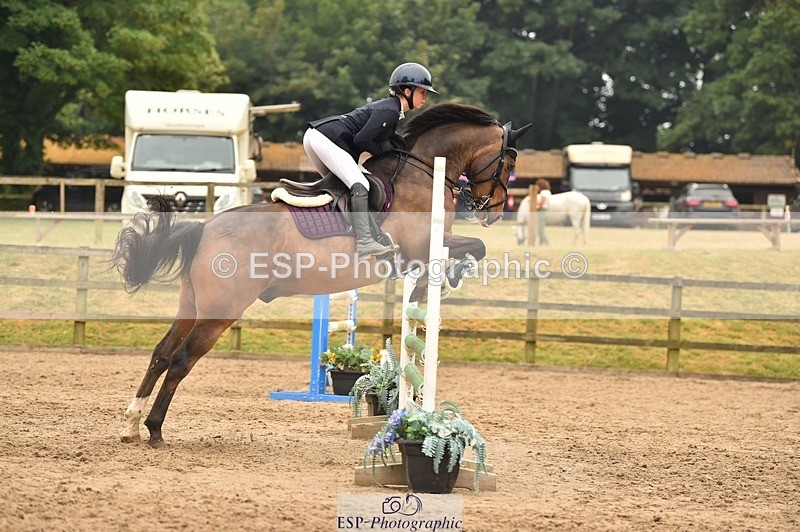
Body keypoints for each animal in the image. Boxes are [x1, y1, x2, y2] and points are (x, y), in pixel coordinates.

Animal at [113, 103, 531, 447]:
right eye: (509, 164)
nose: (493, 212)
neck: (423, 172)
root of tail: (205, 228)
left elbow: (472, 248)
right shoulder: (420, 247)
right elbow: (475, 247)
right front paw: (448, 277)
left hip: (191, 304)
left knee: (161, 353)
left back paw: (131, 425)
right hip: (220, 311)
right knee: (181, 360)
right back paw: (154, 429)